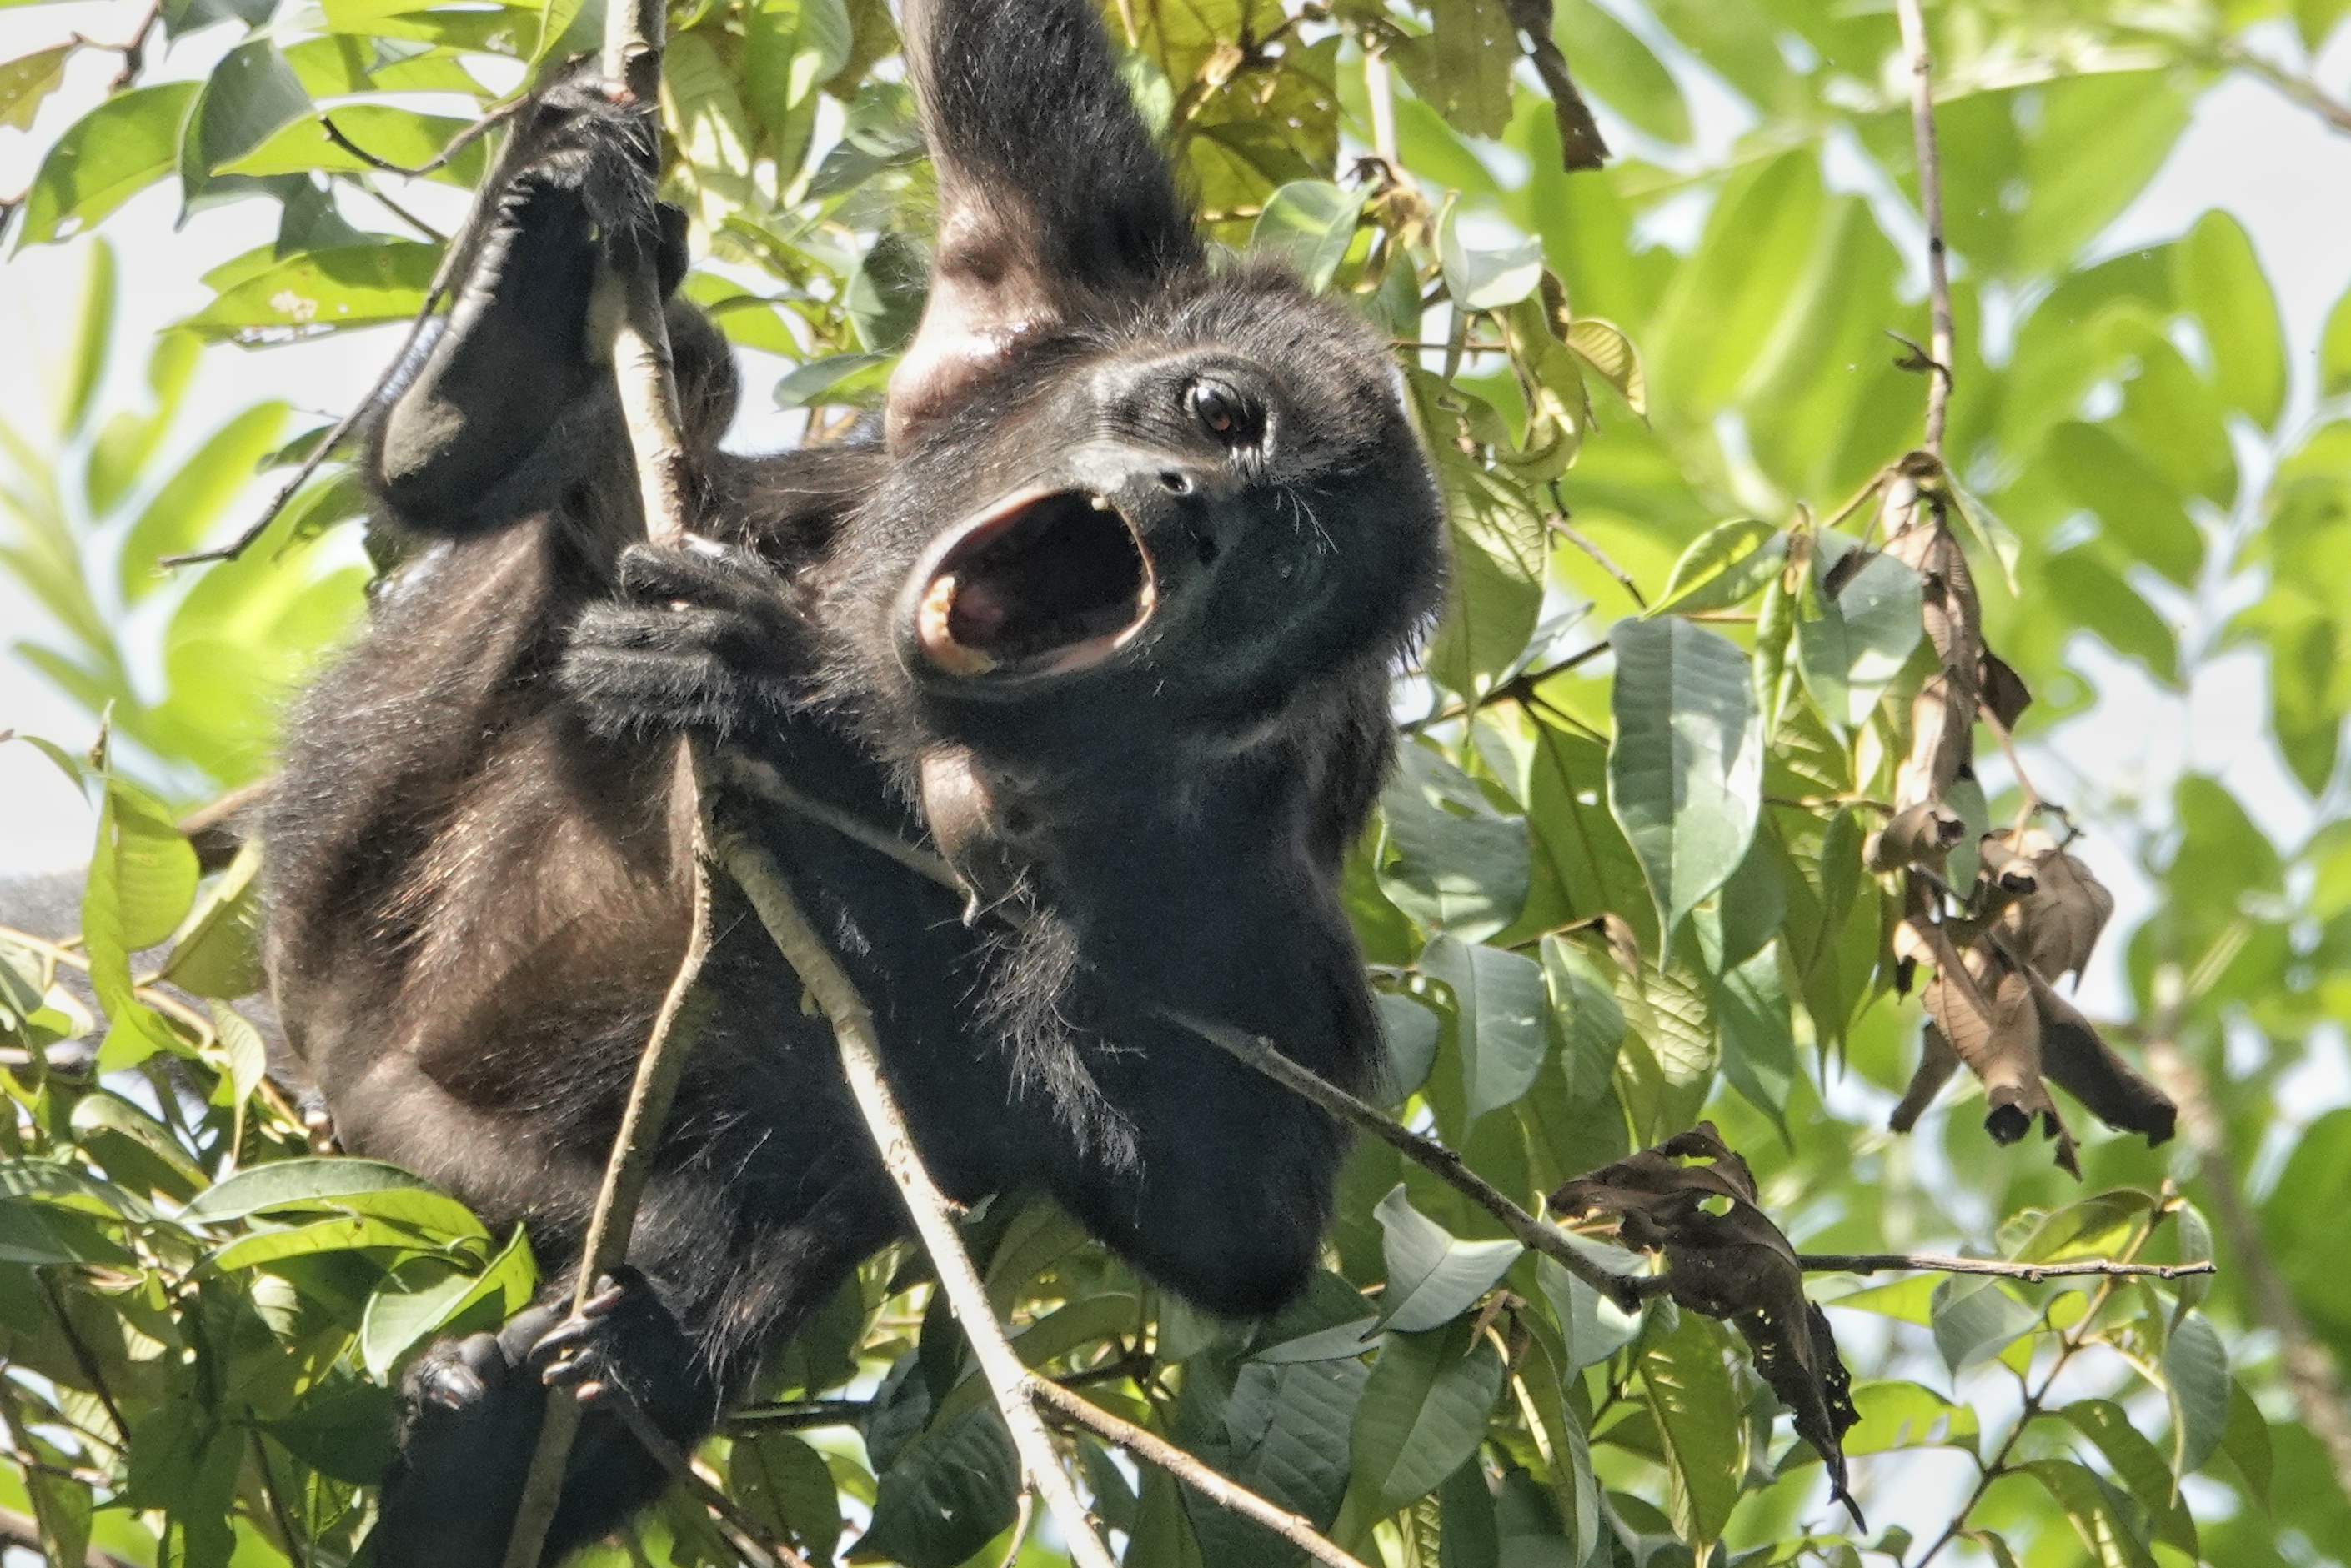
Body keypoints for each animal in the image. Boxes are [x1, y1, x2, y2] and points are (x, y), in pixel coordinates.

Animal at [259, 0, 1447, 1560]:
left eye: (1287, 559)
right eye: (1216, 412)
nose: (1196, 509)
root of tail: (353, 1081)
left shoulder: (1281, 813)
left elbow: (1237, 1216)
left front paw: (783, 703)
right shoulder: (1070, 271)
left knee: (811, 1167)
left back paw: (507, 1429)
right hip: (347, 873)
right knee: (662, 427)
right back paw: (492, 378)